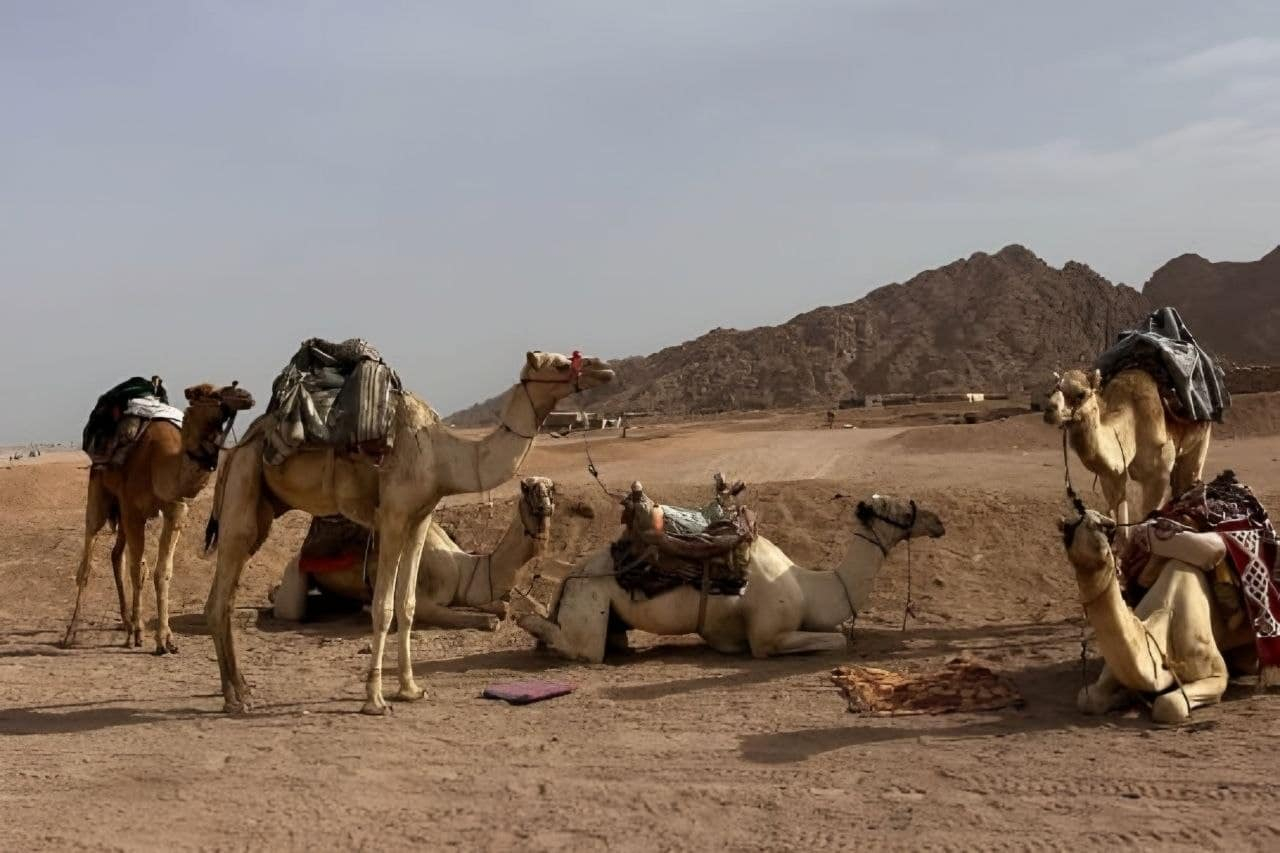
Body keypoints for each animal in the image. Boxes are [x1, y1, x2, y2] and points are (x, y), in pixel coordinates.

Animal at [63, 382, 256, 653]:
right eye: (209, 393)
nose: (246, 396)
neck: (160, 462)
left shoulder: (175, 508)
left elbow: (161, 571)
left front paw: (165, 639)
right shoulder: (133, 509)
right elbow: (137, 569)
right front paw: (140, 633)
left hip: (122, 512)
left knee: (116, 555)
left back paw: (126, 624)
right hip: (99, 493)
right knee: (88, 559)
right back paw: (72, 633)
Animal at [271, 476, 556, 630]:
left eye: (552, 489)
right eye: (526, 488)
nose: (545, 506)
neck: (461, 567)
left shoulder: (459, 592)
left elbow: (501, 606)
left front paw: (501, 608)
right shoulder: (422, 599)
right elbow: (482, 619)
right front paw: (490, 620)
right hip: (295, 572)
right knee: (291, 609)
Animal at [517, 494, 944, 662]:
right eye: (895, 509)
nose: (937, 521)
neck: (810, 587)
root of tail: (572, 576)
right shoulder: (768, 636)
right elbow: (836, 639)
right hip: (589, 609)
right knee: (579, 647)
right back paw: (524, 613)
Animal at [1044, 369, 1211, 532]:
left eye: (1081, 394)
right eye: (1053, 389)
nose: (1049, 410)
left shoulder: (1158, 476)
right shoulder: (1112, 474)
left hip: (1202, 438)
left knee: (1190, 476)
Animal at [1059, 507, 1254, 723]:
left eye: (1096, 525)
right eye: (1067, 529)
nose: (1068, 526)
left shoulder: (1215, 673)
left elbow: (1168, 705)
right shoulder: (1115, 667)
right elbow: (1087, 698)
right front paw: (1125, 696)